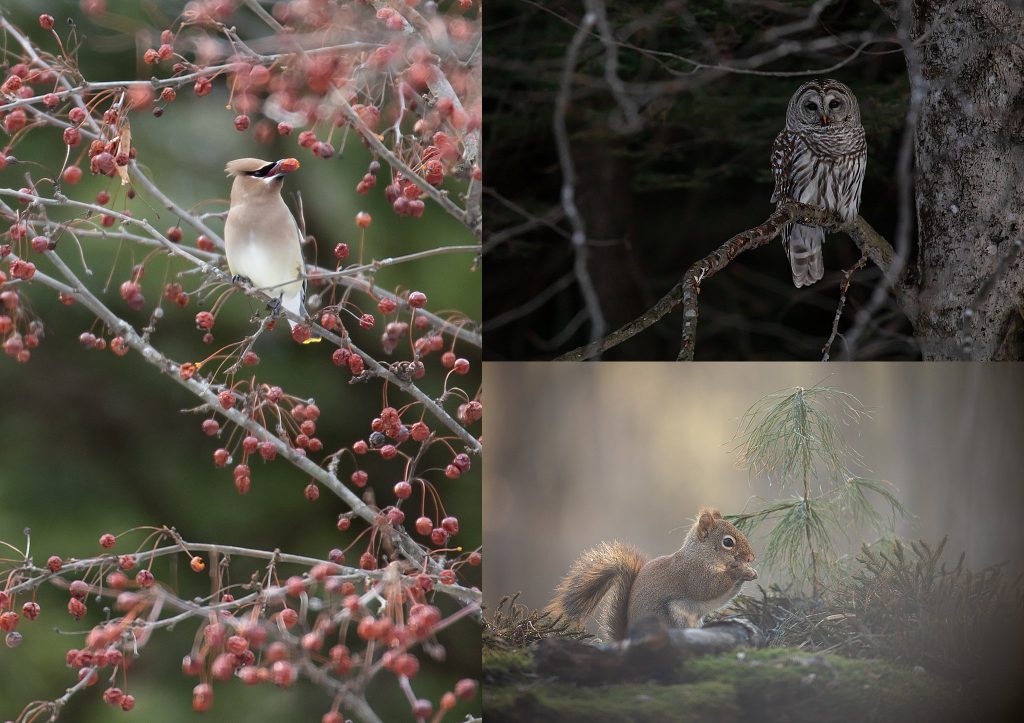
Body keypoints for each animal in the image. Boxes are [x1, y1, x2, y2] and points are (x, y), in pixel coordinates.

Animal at [546, 507, 757, 640]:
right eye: (728, 542)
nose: (751, 557)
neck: (701, 556)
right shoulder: (692, 575)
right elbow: (710, 588)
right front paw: (741, 572)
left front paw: (751, 572)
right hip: (672, 614)